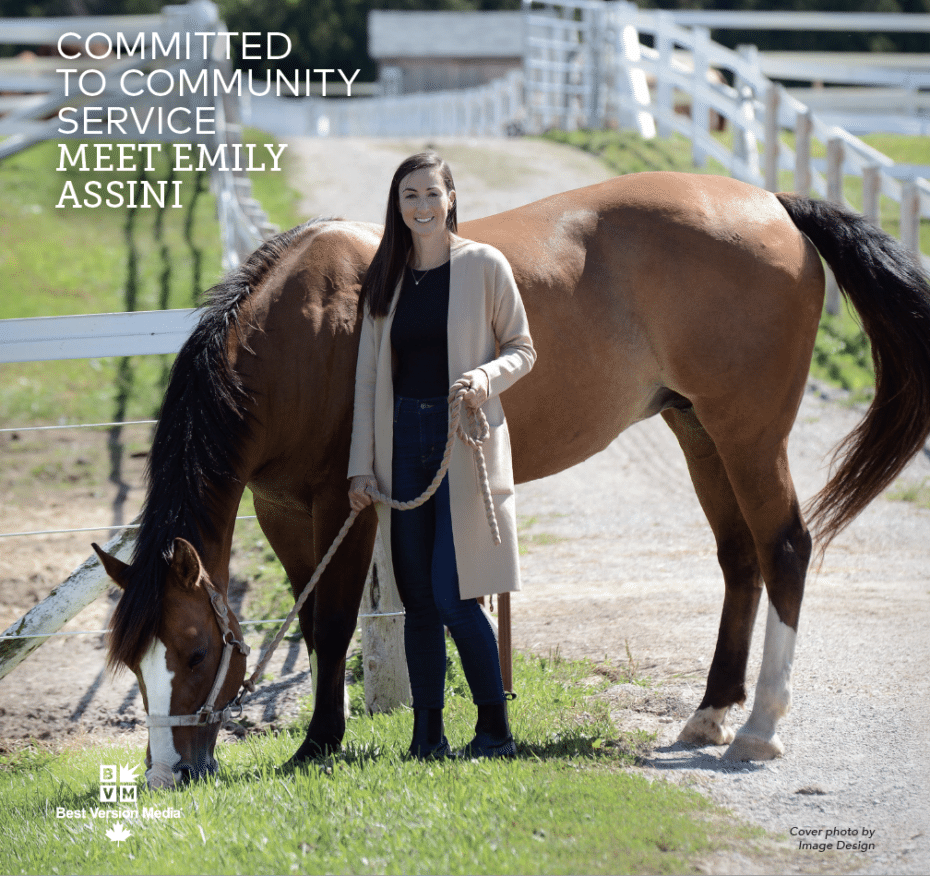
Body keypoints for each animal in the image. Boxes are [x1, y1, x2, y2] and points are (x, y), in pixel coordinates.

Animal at [92, 173, 928, 788]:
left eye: (195, 653)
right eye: (135, 662)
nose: (167, 773)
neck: (302, 332)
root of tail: (774, 204)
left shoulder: (344, 504)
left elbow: (332, 627)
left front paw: (319, 744)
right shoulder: (283, 510)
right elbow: (313, 623)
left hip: (748, 433)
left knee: (785, 547)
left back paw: (758, 729)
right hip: (698, 429)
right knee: (739, 557)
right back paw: (711, 713)